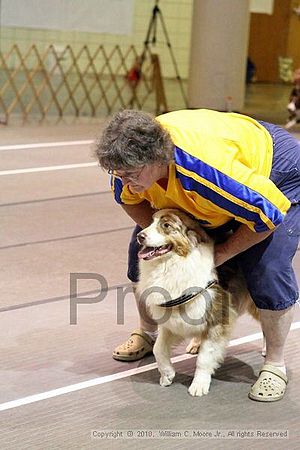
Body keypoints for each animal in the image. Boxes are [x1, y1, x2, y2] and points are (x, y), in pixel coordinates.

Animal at [137, 208, 258, 398]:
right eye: (151, 222)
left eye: (166, 225)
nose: (140, 236)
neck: (173, 265)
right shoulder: (172, 321)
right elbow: (158, 348)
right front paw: (167, 374)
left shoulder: (217, 320)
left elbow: (204, 358)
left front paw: (199, 384)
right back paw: (195, 344)